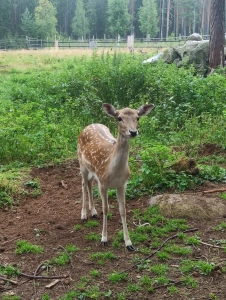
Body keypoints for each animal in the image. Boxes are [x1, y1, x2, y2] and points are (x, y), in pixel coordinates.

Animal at [77, 103, 154, 251]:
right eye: (119, 118)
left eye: (138, 117)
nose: (133, 132)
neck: (114, 171)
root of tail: (88, 126)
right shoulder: (103, 183)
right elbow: (106, 209)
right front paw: (104, 239)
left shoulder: (122, 184)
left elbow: (123, 210)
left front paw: (129, 243)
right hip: (81, 163)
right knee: (83, 184)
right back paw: (83, 214)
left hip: (92, 171)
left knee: (89, 183)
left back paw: (93, 211)